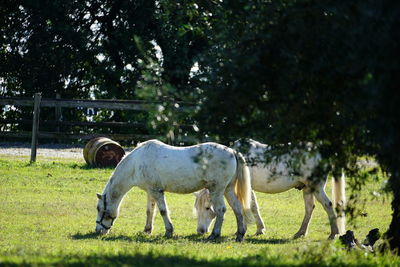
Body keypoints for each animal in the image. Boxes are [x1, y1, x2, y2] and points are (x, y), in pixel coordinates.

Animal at [96, 140, 253, 243]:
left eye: (99, 209)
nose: (98, 231)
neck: (137, 162)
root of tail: (232, 151)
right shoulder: (150, 191)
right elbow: (150, 211)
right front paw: (147, 230)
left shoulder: (157, 191)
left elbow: (163, 211)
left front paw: (169, 231)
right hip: (228, 189)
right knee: (238, 209)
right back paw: (240, 235)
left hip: (217, 190)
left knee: (221, 210)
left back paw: (214, 234)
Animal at [195, 139, 346, 240]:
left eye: (207, 208)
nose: (200, 231)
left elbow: (250, 206)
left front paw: (257, 230)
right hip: (308, 188)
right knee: (309, 208)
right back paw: (300, 233)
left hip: (317, 187)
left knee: (327, 205)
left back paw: (333, 234)